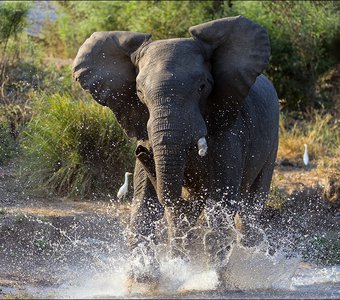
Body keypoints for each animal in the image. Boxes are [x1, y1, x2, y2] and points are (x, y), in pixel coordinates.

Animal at [72, 15, 278, 284]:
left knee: (250, 210)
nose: (140, 151)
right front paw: (143, 278)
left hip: (272, 140)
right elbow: (145, 204)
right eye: (139, 92)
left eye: (203, 86)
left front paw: (214, 280)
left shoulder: (230, 133)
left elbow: (221, 202)